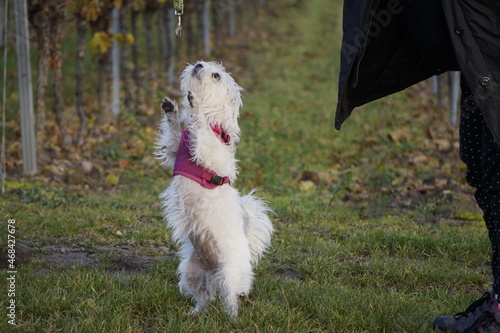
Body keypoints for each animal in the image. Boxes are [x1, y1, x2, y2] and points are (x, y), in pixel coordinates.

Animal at [155, 61, 274, 318]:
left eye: (217, 75)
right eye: (202, 63)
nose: (199, 64)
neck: (215, 124)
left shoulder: (210, 153)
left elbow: (201, 132)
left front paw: (196, 104)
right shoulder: (174, 151)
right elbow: (172, 134)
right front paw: (171, 111)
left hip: (229, 276)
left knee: (231, 300)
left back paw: (232, 320)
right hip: (191, 272)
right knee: (205, 298)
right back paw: (194, 314)